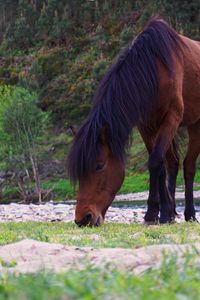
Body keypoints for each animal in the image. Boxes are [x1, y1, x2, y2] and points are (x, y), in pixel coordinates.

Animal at [67, 17, 200, 226]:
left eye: (99, 165)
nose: (83, 219)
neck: (154, 69)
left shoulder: (171, 118)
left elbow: (155, 162)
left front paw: (159, 214)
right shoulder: (146, 126)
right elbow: (158, 165)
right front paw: (157, 212)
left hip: (195, 125)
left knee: (189, 167)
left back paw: (190, 214)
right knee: (173, 163)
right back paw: (173, 212)